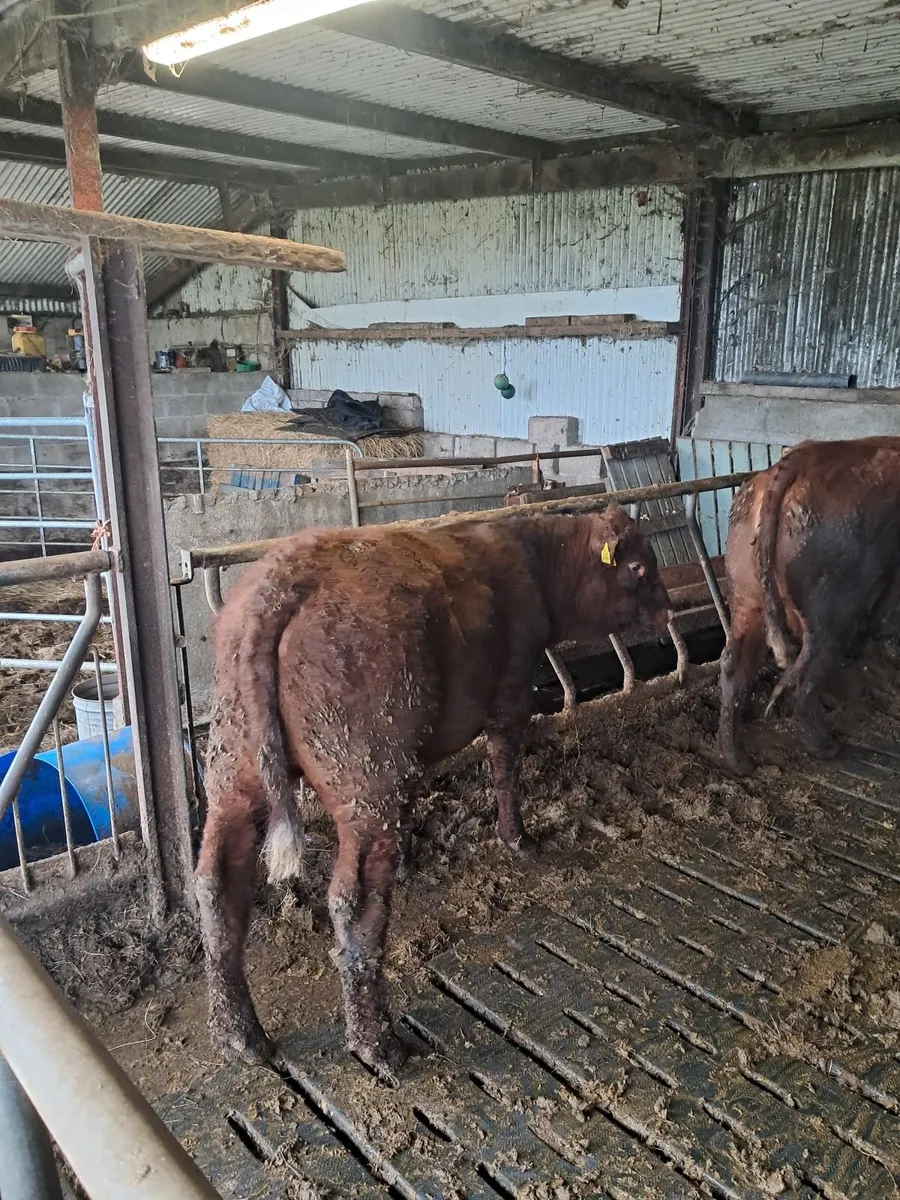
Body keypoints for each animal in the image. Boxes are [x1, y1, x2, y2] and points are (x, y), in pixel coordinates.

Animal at [196, 507, 673, 1075]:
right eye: (639, 567)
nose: (668, 610)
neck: (534, 562)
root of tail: (285, 575)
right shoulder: (511, 691)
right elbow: (505, 765)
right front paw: (518, 838)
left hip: (234, 768)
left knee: (217, 883)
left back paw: (239, 1035)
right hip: (367, 779)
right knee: (353, 903)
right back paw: (378, 1044)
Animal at [718, 437, 900, 776]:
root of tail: (804, 456)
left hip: (747, 597)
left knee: (734, 663)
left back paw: (738, 761)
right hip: (835, 609)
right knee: (807, 673)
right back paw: (825, 747)